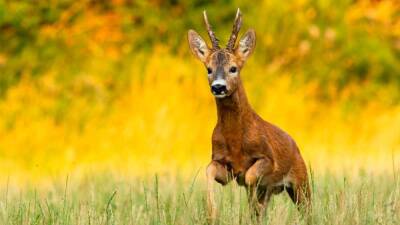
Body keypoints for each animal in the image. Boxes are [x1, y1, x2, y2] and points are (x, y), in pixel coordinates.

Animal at [188, 8, 312, 220]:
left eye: (233, 68)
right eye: (209, 69)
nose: (218, 87)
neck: (236, 140)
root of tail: (294, 143)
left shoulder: (267, 159)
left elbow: (250, 176)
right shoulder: (223, 165)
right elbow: (208, 170)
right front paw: (212, 214)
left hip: (301, 180)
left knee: (308, 209)